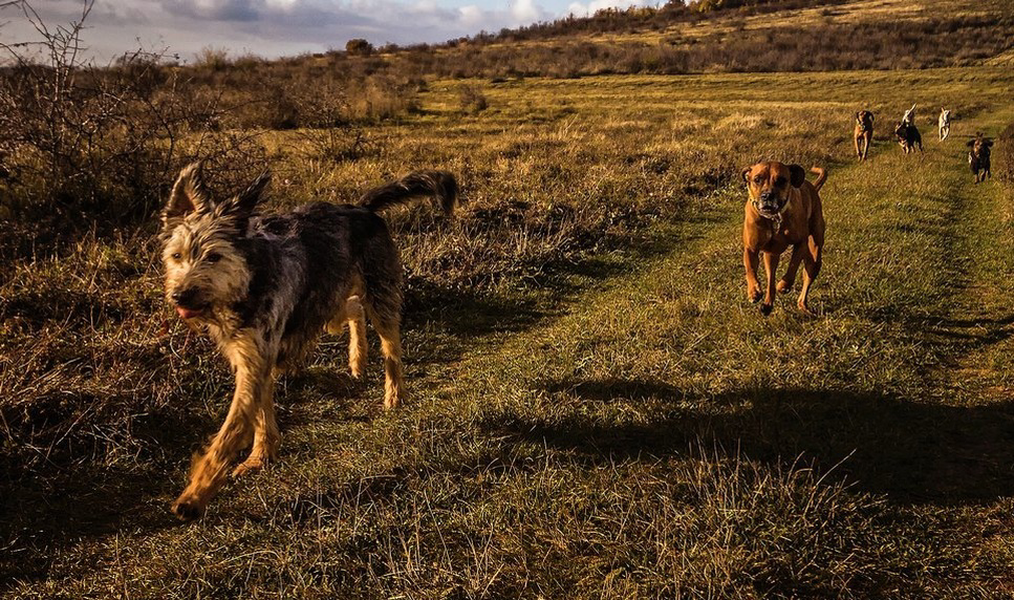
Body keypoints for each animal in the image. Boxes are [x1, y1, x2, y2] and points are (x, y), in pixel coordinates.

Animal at [161, 164, 460, 518]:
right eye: (176, 256)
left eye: (214, 256)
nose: (180, 294)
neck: (249, 280)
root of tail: (361, 208)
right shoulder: (251, 356)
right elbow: (259, 413)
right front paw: (261, 455)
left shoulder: (255, 359)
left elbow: (229, 432)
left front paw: (194, 496)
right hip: (326, 305)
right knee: (353, 308)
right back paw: (357, 360)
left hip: (379, 294)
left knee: (391, 346)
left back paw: (394, 394)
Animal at [742, 162, 827, 316]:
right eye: (757, 179)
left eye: (781, 180)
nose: (767, 195)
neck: (773, 218)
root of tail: (812, 187)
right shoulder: (751, 248)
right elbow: (750, 269)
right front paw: (753, 291)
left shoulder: (801, 243)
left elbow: (793, 266)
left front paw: (784, 285)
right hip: (771, 256)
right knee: (770, 279)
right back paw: (767, 304)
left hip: (815, 256)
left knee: (807, 276)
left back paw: (802, 304)